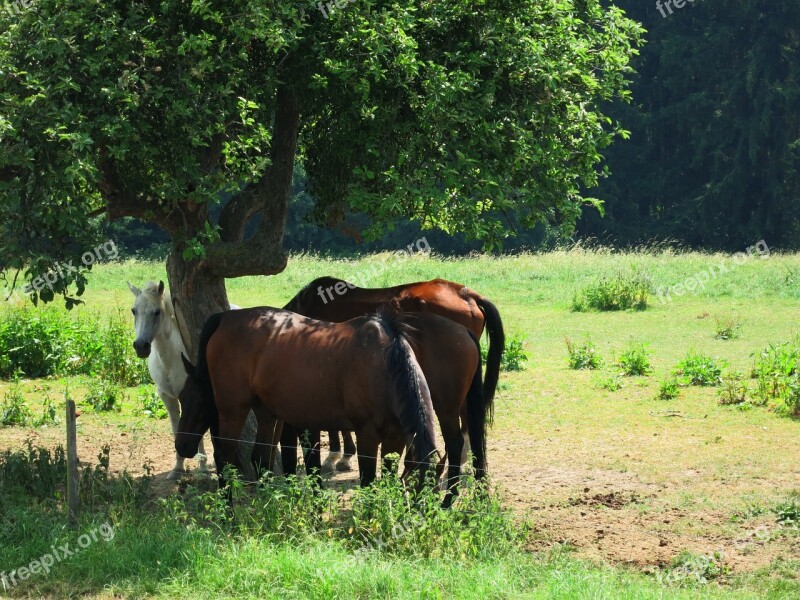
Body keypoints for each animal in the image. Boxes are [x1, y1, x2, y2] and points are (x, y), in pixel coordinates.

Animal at [128, 278, 209, 480]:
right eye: (134, 310)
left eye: (157, 311)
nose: (141, 346)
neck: (172, 359)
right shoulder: (167, 397)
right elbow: (176, 428)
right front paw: (177, 469)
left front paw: (204, 469)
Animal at [173, 308, 444, 490]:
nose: (181, 446)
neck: (385, 365)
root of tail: (226, 318)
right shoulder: (366, 436)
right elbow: (367, 482)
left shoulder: (395, 439)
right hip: (233, 410)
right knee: (224, 459)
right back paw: (230, 517)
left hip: (266, 413)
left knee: (260, 458)